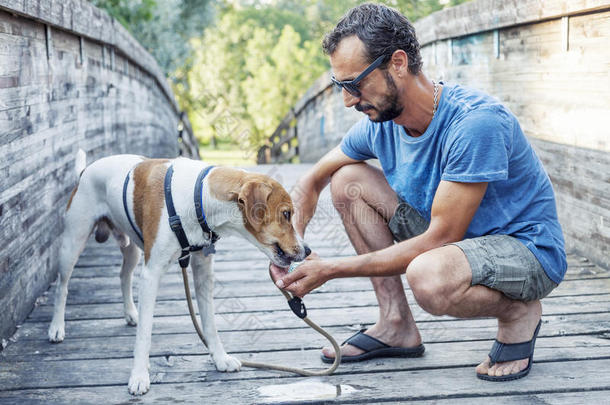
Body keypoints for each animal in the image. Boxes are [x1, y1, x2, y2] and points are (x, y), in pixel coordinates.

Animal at [47, 150, 308, 392]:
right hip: (73, 243)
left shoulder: (203, 272)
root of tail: (85, 171)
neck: (198, 198)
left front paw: (220, 359)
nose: (307, 250)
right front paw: (139, 375)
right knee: (62, 286)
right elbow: (145, 333)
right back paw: (56, 327)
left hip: (132, 250)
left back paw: (130, 312)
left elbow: (210, 325)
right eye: (286, 214)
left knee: (123, 276)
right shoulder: (151, 275)